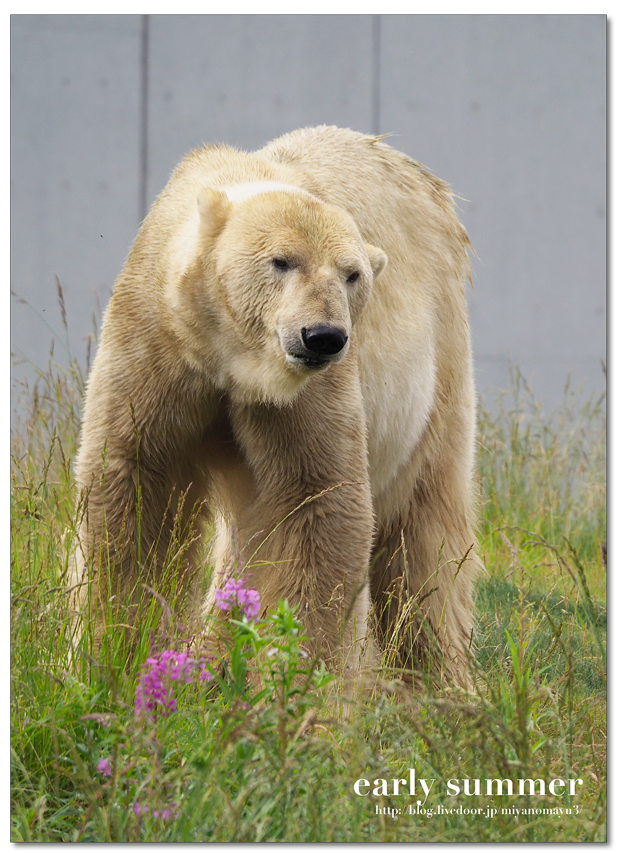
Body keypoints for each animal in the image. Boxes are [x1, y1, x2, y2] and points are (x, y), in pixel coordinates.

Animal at [74, 126, 480, 684]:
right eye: (282, 261)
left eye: (351, 274)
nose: (322, 336)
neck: (232, 359)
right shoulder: (158, 339)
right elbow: (133, 480)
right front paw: (112, 651)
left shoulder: (307, 394)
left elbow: (314, 499)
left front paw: (299, 675)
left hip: (438, 366)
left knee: (425, 542)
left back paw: (438, 678)